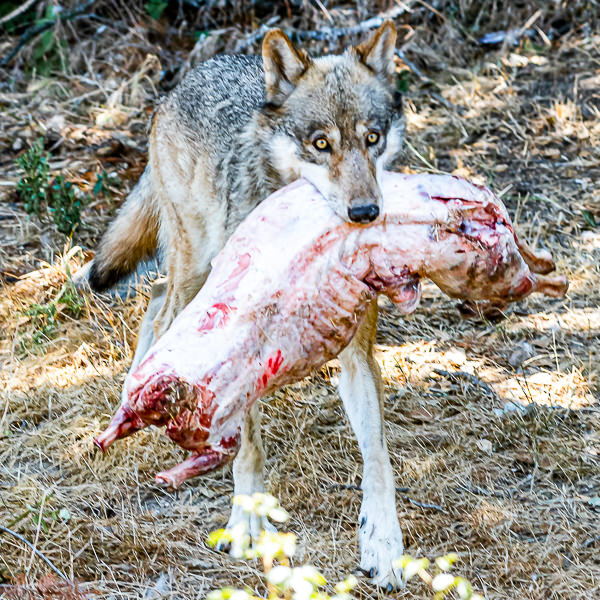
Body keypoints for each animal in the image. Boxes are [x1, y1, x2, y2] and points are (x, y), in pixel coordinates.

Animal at [87, 21, 406, 588]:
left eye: (372, 138)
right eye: (320, 144)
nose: (366, 212)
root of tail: (183, 82)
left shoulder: (358, 356)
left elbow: (377, 460)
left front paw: (384, 546)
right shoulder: (245, 354)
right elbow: (252, 446)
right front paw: (247, 525)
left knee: (155, 298)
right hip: (195, 264)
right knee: (163, 311)